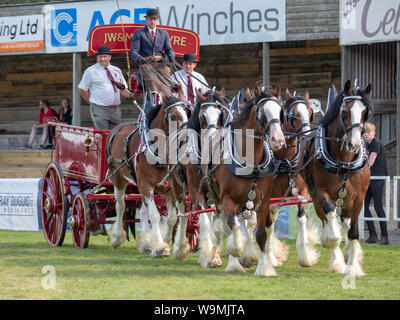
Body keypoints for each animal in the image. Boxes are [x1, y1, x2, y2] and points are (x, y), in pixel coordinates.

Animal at [107, 90, 193, 258]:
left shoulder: (172, 188)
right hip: (118, 178)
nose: (187, 138)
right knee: (120, 205)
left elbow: (173, 217)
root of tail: (118, 128)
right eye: (173, 116)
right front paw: (160, 247)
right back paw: (117, 238)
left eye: (187, 113)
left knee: (142, 211)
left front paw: (168, 242)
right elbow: (155, 216)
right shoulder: (146, 186)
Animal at [205, 84, 286, 276]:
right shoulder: (227, 200)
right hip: (217, 199)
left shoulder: (263, 202)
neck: (251, 162)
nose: (278, 140)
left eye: (280, 111)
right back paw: (231, 259)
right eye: (262, 113)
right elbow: (232, 227)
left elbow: (261, 234)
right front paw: (236, 252)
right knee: (226, 224)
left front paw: (264, 268)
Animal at [298, 79, 374, 276]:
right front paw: (337, 261)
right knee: (326, 220)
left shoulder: (359, 198)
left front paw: (353, 266)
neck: (344, 162)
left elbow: (353, 232)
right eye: (344, 112)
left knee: (345, 224)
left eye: (366, 113)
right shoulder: (320, 194)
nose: (355, 144)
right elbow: (332, 234)